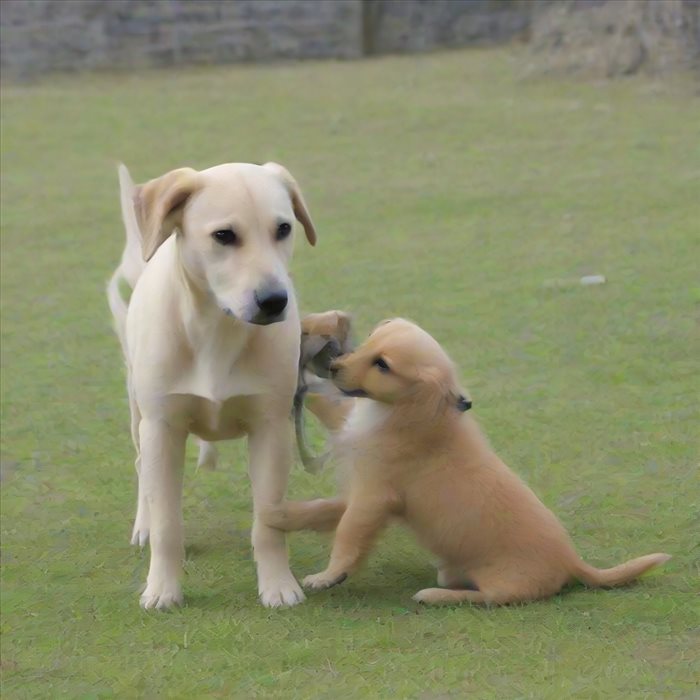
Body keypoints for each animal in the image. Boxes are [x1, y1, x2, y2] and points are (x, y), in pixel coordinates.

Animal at [107, 161, 318, 608]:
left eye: (284, 228)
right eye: (224, 235)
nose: (274, 300)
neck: (217, 332)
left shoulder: (272, 428)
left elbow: (268, 520)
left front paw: (278, 585)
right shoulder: (162, 428)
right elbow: (168, 524)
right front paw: (162, 590)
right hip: (138, 412)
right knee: (141, 467)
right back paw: (143, 524)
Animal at [266, 320, 668, 604]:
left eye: (382, 365)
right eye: (367, 345)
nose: (334, 366)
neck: (404, 413)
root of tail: (574, 563)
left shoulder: (373, 499)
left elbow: (347, 536)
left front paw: (327, 575)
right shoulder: (365, 487)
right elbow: (322, 510)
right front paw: (279, 516)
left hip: (503, 585)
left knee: (485, 598)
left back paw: (434, 596)